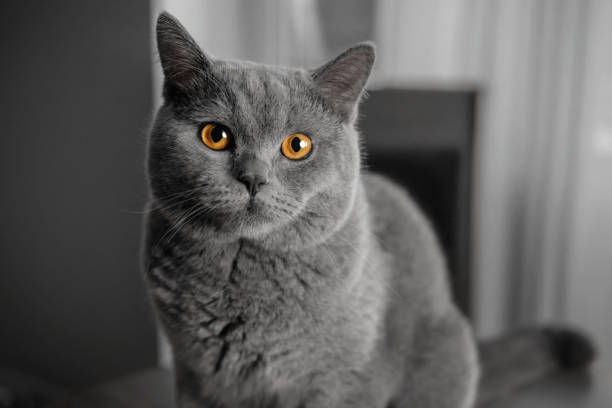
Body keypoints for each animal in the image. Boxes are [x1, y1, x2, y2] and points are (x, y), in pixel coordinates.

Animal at [142, 12, 592, 408]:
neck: (242, 276)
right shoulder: (195, 379)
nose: (253, 178)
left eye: (297, 146)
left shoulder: (346, 382)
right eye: (215, 136)